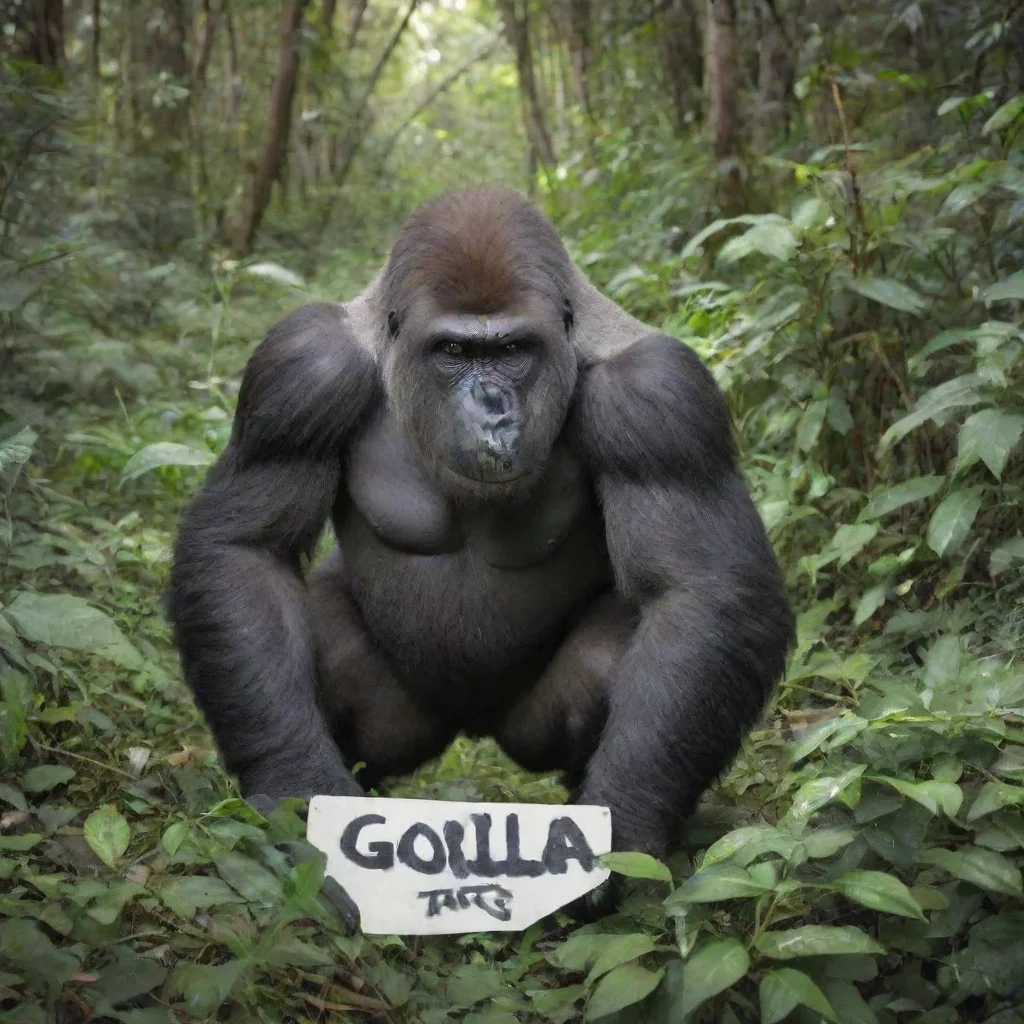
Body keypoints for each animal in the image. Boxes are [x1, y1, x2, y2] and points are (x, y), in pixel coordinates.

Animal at [167, 185, 794, 868]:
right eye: (455, 352)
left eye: (513, 351)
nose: (492, 409)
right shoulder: (300, 367)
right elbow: (246, 551)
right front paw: (293, 791)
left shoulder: (660, 398)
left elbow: (702, 590)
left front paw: (625, 827)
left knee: (612, 658)